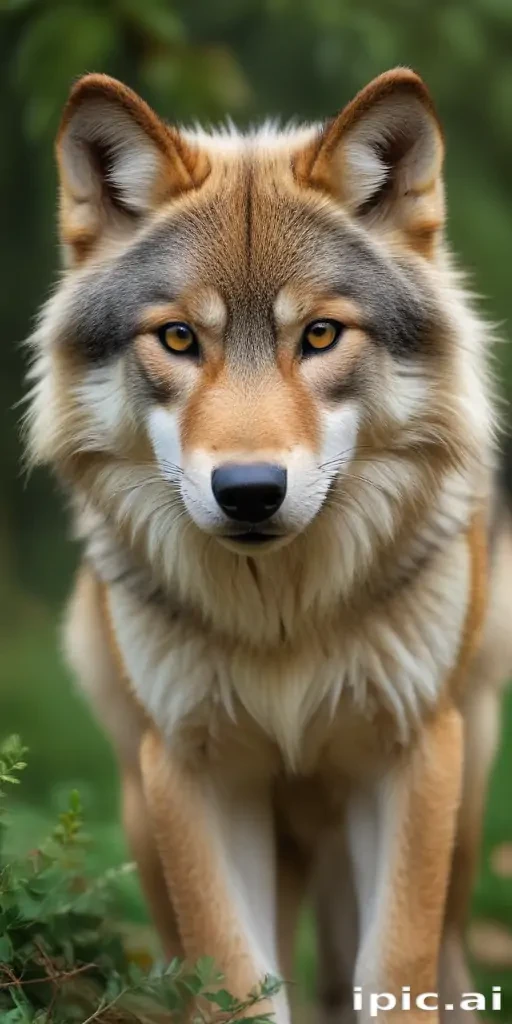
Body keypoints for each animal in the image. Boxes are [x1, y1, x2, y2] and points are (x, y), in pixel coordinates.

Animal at [25, 68, 512, 1023]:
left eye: (319, 334)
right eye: (179, 337)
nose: (249, 491)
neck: (280, 618)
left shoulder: (409, 754)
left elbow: (393, 969)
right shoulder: (193, 771)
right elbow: (237, 981)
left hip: (464, 788)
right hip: (144, 815)